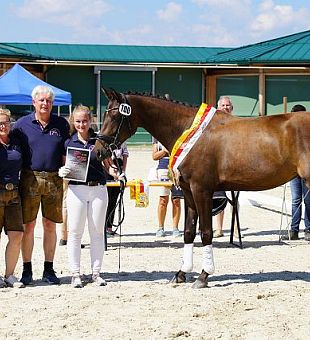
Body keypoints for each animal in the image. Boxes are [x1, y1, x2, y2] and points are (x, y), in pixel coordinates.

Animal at [95, 87, 310, 286]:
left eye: (114, 116)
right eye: (105, 114)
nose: (98, 151)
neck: (188, 131)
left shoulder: (202, 190)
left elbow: (206, 232)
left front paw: (203, 276)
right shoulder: (188, 192)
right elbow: (189, 232)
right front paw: (182, 273)